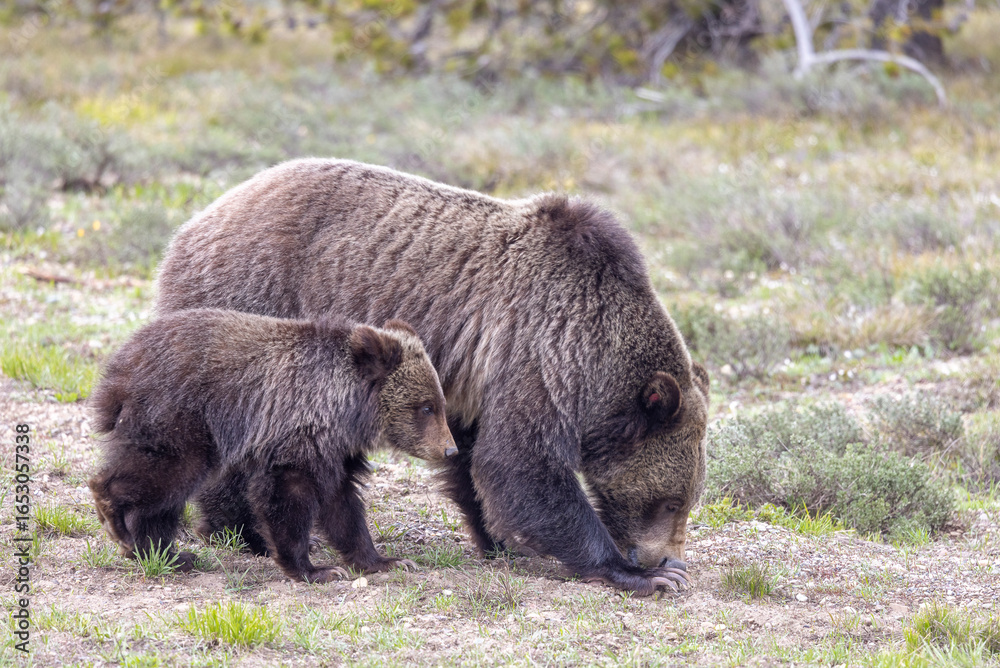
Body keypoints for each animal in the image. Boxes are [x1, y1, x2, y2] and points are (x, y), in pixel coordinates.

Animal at [88, 308, 455, 583]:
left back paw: (168, 554)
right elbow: (287, 496)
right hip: (180, 415)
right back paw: (117, 520)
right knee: (167, 471)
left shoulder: (336, 450)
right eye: (425, 407)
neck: (344, 408)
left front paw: (385, 560)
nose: (450, 450)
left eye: (440, 403)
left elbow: (343, 506)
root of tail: (117, 368)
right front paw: (314, 569)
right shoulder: (294, 433)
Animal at [155, 158, 710, 595]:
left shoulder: (478, 380)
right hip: (255, 300)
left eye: (687, 500)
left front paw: (502, 541)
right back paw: (241, 531)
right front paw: (638, 575)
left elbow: (473, 462)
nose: (665, 557)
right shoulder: (536, 353)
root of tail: (194, 221)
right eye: (668, 501)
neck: (591, 350)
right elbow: (522, 464)